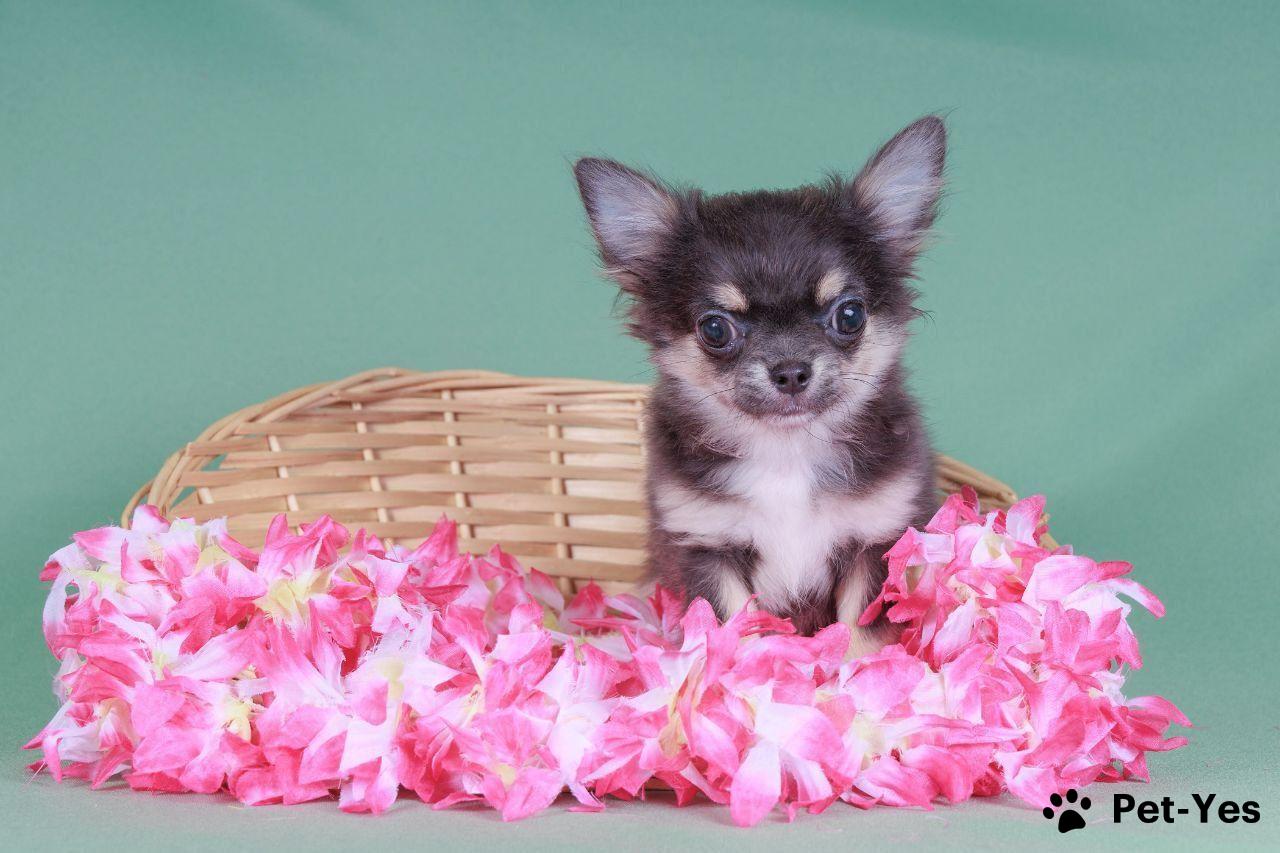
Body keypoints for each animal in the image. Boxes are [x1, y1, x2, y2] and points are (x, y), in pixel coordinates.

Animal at [573, 116, 945, 655]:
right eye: (715, 328)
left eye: (850, 315)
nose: (790, 370)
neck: (785, 455)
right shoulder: (705, 545)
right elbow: (732, 629)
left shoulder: (877, 538)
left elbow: (860, 634)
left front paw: (858, 672)